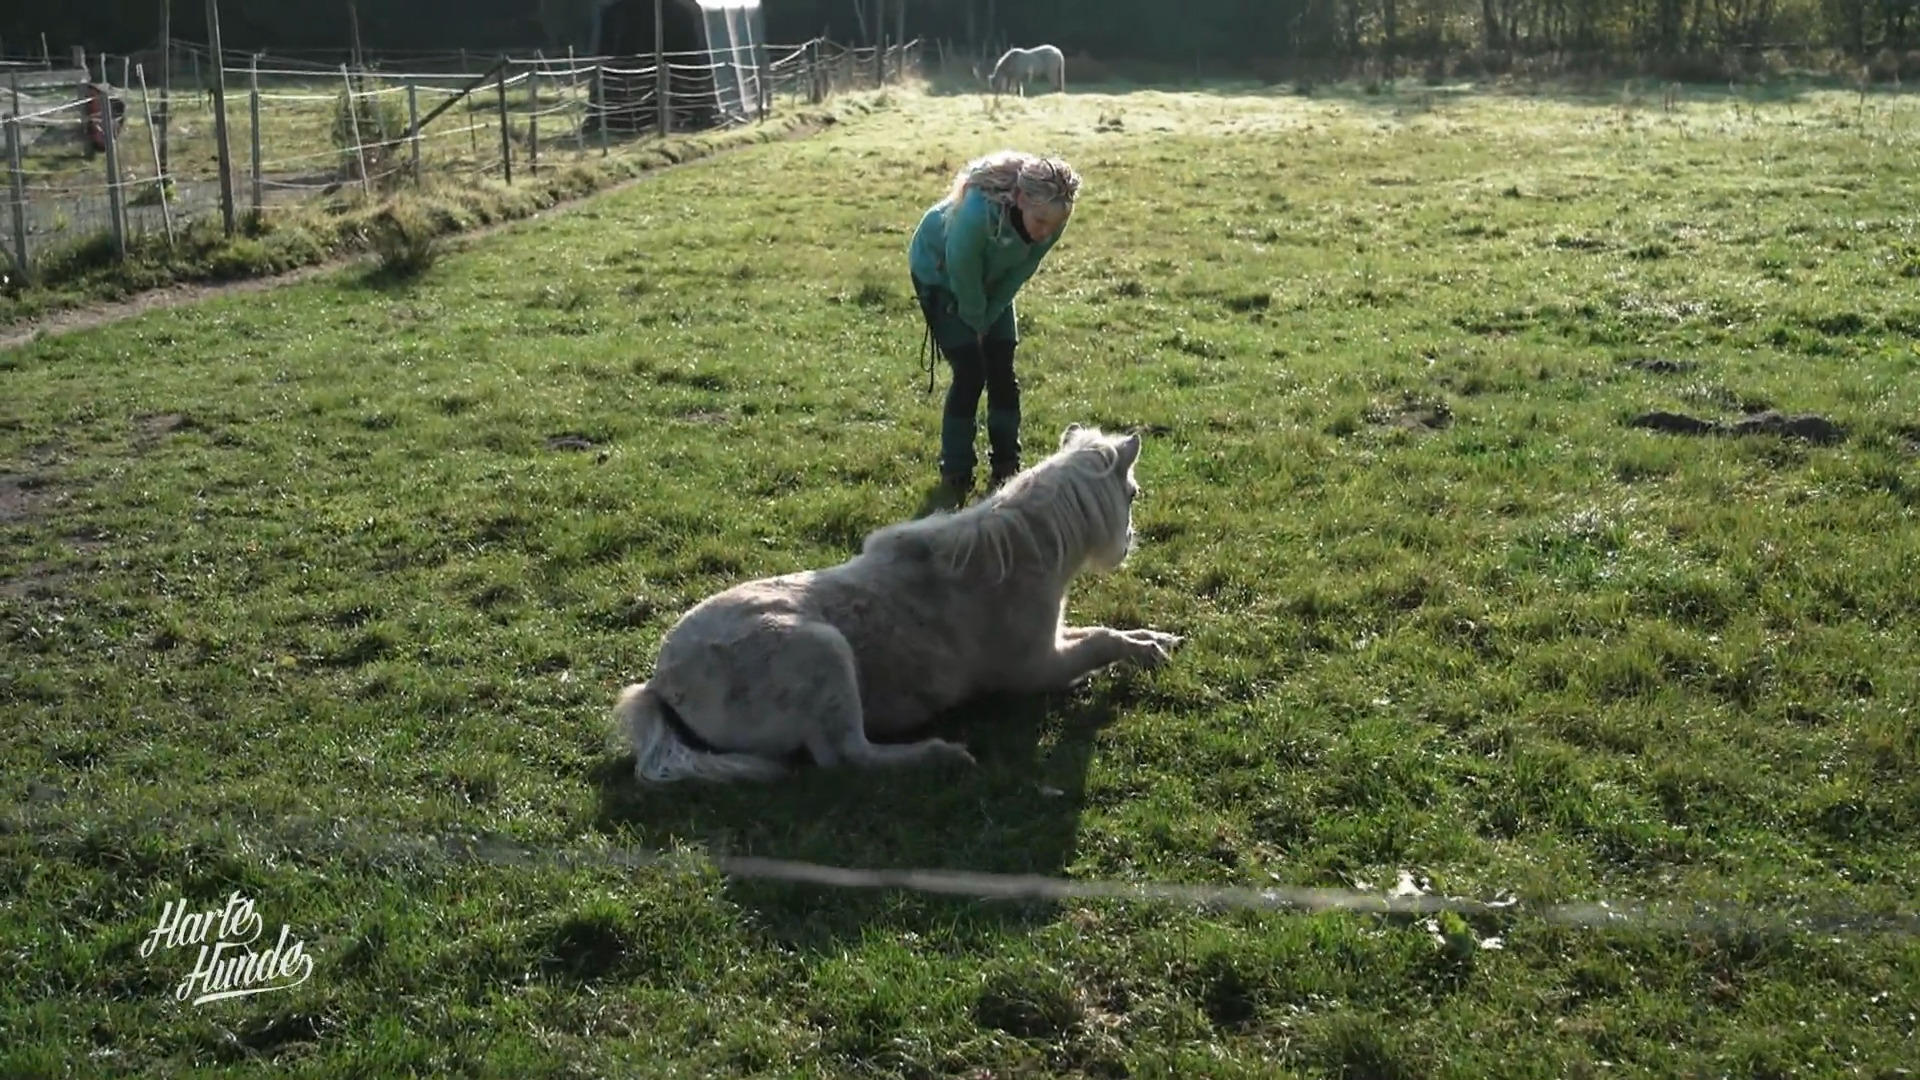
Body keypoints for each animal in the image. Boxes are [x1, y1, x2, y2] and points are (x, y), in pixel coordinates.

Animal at [617, 424, 1182, 783]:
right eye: (1132, 494)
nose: (1127, 546)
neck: (1010, 560)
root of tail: (663, 681)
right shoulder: (1035, 668)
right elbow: (1100, 642)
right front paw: (1147, 651)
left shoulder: (1055, 642)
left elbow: (1105, 634)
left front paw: (1157, 642)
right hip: (824, 654)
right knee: (848, 756)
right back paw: (941, 756)